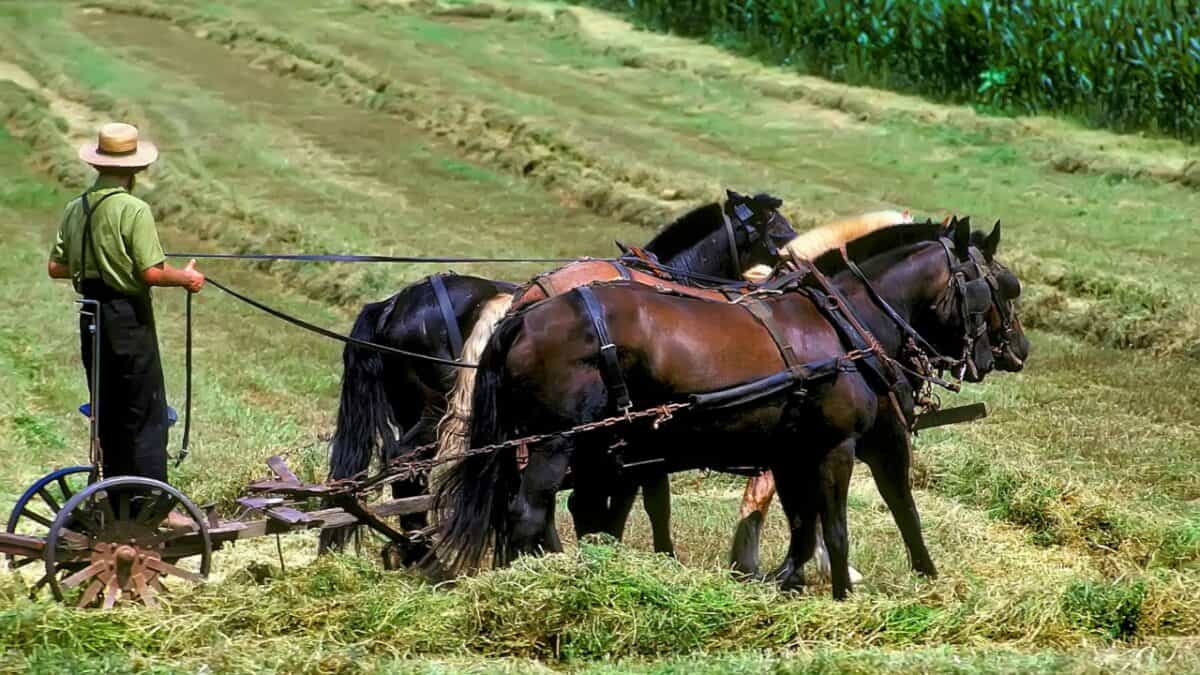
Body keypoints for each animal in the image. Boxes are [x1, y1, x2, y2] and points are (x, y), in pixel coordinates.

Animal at [319, 191, 798, 554]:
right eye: (779, 230)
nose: (796, 266)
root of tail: (391, 305)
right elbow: (645, 500)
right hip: (439, 413)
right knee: (411, 466)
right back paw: (422, 547)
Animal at [427, 217, 1029, 599]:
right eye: (1005, 285)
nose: (1018, 351)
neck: (850, 327)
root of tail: (522, 313)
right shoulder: (850, 445)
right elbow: (872, 514)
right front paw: (867, 588)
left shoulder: (792, 451)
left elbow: (802, 520)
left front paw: (787, 581)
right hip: (556, 445)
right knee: (530, 512)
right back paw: (543, 581)